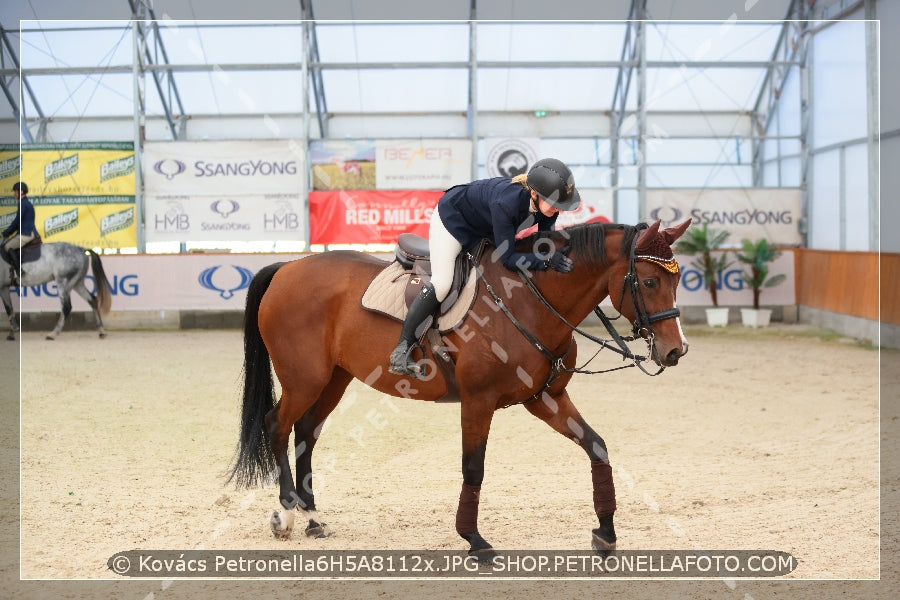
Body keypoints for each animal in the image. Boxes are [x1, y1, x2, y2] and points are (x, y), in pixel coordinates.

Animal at [230, 218, 688, 556]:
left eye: (679, 279)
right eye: (649, 282)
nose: (675, 351)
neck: (527, 302)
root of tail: (287, 267)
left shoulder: (546, 399)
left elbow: (597, 446)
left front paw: (606, 531)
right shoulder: (479, 401)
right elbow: (474, 468)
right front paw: (474, 539)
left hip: (334, 378)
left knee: (306, 432)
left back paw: (311, 517)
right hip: (304, 378)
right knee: (277, 426)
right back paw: (286, 513)